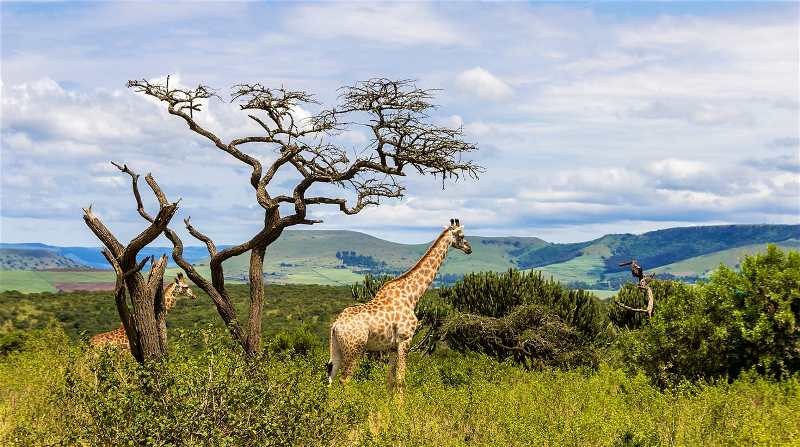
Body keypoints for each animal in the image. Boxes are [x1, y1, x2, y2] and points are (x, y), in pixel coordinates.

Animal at [327, 218, 472, 395]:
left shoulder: (392, 347)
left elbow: (390, 380)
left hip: (336, 348)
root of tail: (335, 325)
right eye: (462, 235)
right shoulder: (405, 339)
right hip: (354, 349)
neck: (412, 296)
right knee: (344, 380)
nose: (469, 248)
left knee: (330, 378)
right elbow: (401, 379)